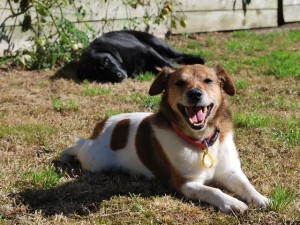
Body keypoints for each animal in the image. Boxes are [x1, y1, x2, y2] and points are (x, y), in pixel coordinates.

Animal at [61, 64, 270, 214]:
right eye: (180, 83)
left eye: (208, 80)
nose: (195, 94)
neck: (201, 142)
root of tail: (100, 128)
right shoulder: (185, 183)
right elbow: (211, 190)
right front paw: (231, 202)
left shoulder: (229, 172)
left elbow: (246, 184)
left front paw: (260, 198)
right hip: (94, 162)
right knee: (80, 147)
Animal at [76, 29, 205, 82]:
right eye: (99, 73)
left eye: (107, 60)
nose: (118, 76)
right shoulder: (146, 69)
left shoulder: (148, 50)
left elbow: (167, 65)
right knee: (175, 58)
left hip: (157, 44)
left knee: (177, 55)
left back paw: (199, 59)